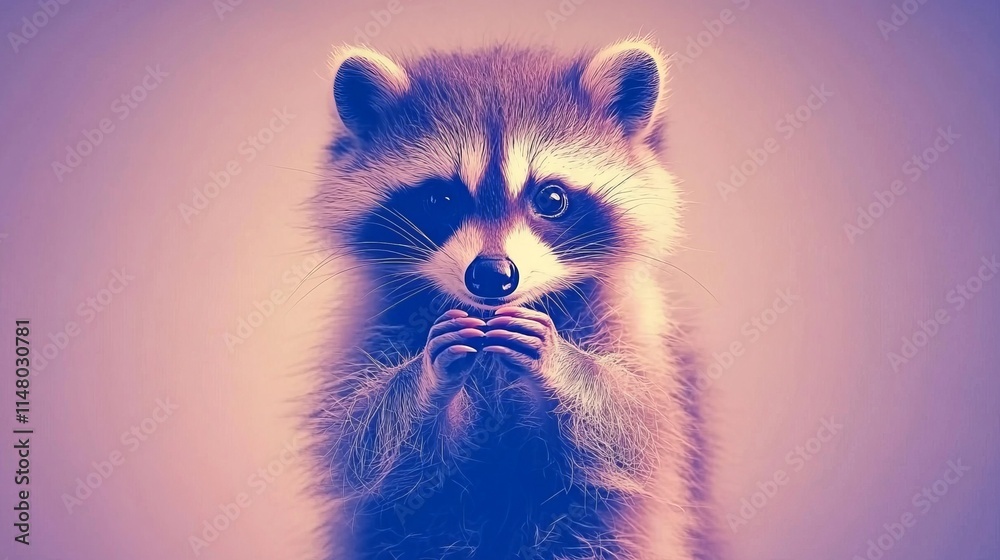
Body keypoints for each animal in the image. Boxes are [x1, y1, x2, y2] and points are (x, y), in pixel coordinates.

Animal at [308, 38, 713, 560]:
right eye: (440, 200)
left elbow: (637, 430)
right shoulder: (366, 324)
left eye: (552, 199)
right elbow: (360, 445)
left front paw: (562, 361)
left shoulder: (638, 330)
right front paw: (426, 375)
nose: (492, 276)